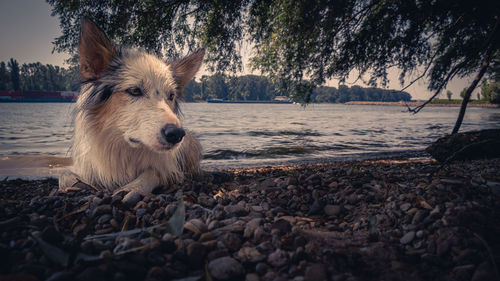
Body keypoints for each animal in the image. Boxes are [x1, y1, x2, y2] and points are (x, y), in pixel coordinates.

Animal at [59, 19, 205, 199]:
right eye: (134, 90)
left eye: (171, 96)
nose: (176, 134)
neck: (124, 150)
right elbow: (65, 175)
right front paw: (77, 184)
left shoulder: (166, 167)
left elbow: (151, 173)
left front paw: (130, 188)